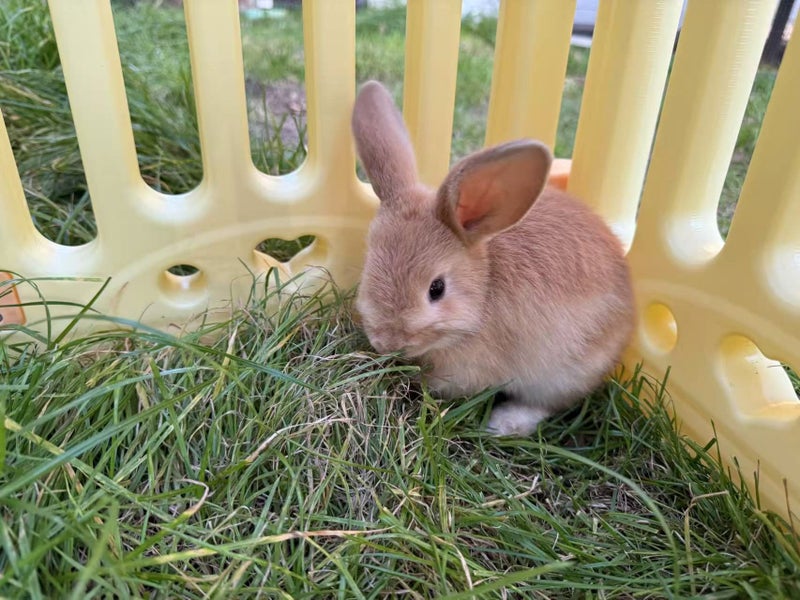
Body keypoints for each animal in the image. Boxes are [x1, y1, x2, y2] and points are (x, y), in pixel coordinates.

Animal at [351, 80, 636, 436]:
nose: (387, 342)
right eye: (367, 267)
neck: (484, 286)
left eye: (437, 289)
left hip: (563, 374)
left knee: (547, 404)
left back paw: (504, 423)